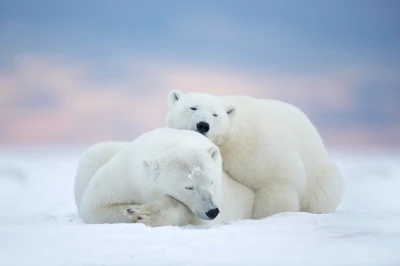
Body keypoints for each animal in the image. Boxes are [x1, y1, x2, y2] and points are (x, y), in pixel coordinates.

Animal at [74, 128, 253, 225]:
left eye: (211, 182)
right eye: (189, 187)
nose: (212, 211)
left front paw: (144, 213)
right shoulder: (124, 176)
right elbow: (96, 207)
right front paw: (135, 211)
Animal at [166, 90, 344, 219]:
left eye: (215, 114)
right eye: (193, 107)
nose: (203, 125)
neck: (230, 140)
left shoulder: (256, 149)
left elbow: (276, 181)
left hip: (319, 175)